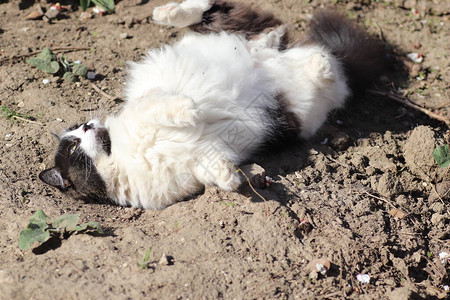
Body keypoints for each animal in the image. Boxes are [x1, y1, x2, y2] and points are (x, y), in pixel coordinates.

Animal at [38, 0, 384, 209]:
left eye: (74, 138)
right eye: (72, 146)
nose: (86, 125)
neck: (123, 154)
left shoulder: (150, 103)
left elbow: (165, 107)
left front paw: (190, 110)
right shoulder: (199, 159)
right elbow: (214, 170)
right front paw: (231, 178)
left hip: (231, 30)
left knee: (216, 13)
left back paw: (165, 13)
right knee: (328, 67)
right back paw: (319, 65)